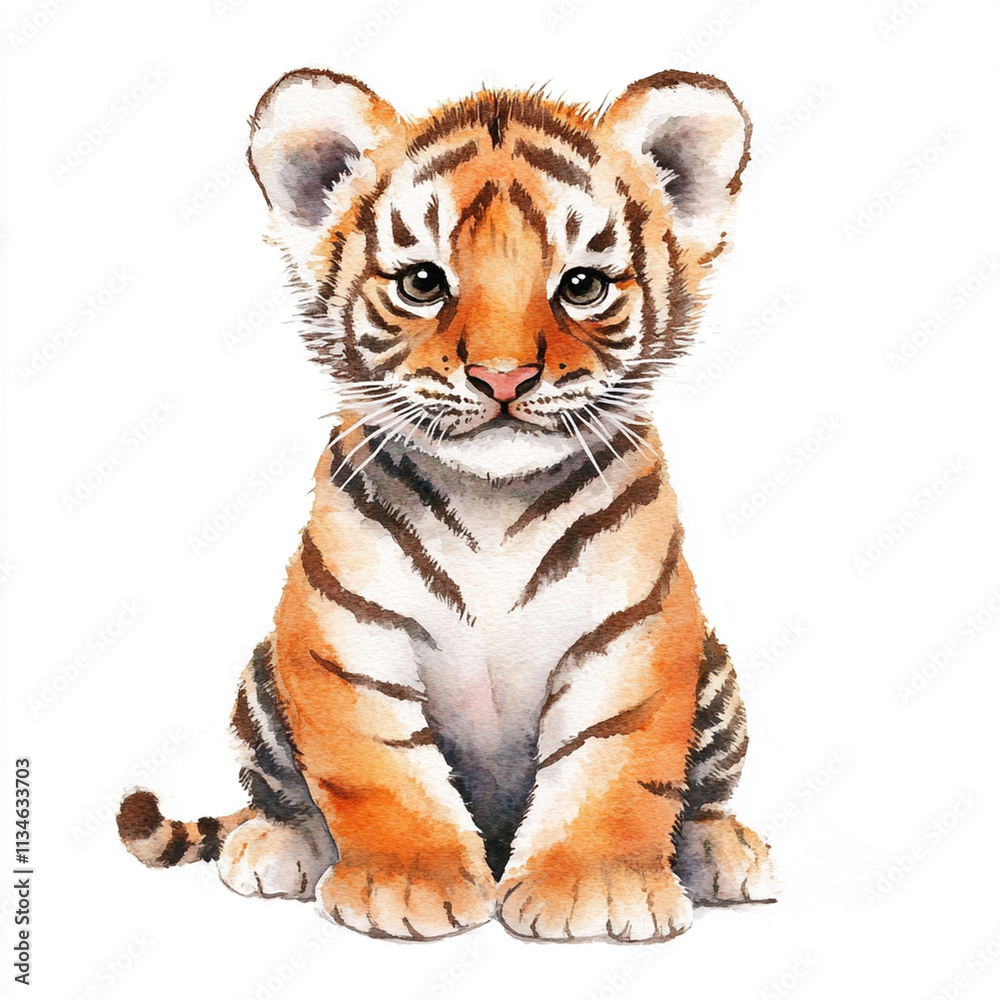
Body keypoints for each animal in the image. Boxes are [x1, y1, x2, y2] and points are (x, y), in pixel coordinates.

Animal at [117, 66, 776, 942]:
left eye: (582, 286)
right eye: (423, 283)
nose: (502, 377)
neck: (493, 499)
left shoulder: (633, 637)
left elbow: (615, 768)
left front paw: (597, 892)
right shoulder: (345, 638)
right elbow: (375, 769)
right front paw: (406, 884)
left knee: (700, 799)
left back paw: (722, 852)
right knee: (280, 794)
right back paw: (276, 846)